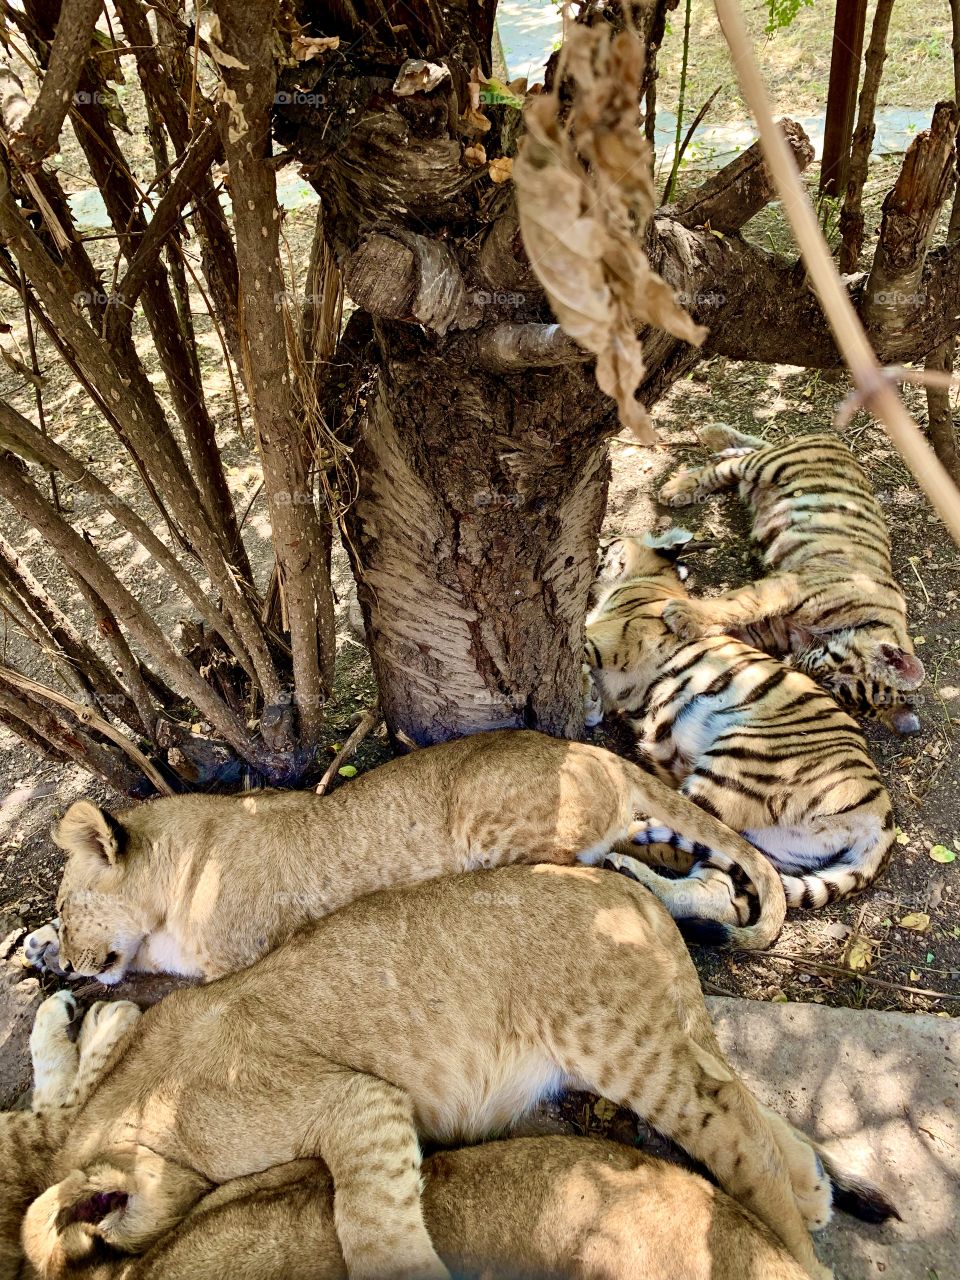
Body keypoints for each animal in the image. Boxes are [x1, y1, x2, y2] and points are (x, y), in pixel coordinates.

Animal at [21, 867, 896, 1280]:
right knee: (746, 1102)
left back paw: (797, 1246)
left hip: (616, 1039)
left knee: (735, 1134)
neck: (138, 1105)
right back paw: (815, 1191)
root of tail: (613, 881)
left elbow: (367, 1224)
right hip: (659, 1027)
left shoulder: (358, 1100)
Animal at [25, 729, 788, 985]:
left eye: (65, 903)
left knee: (607, 877)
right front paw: (37, 949)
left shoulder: (232, 961)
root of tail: (591, 748)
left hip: (496, 830)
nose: (73, 964)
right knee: (687, 868)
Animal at [584, 528, 897, 913]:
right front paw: (588, 699)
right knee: (724, 888)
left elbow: (585, 646)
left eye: (613, 542)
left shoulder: (615, 639)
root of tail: (881, 813)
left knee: (672, 826)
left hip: (735, 766)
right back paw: (627, 869)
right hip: (773, 846)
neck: (651, 579)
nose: (602, 542)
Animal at [657, 425, 924, 736]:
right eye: (825, 672)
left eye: (829, 690)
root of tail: (833, 439)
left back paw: (716, 443)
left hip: (758, 479)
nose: (795, 664)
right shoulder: (789, 587)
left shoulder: (771, 627)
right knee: (727, 467)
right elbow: (739, 604)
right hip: (770, 466)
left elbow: (737, 628)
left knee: (743, 456)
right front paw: (685, 616)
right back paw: (680, 483)